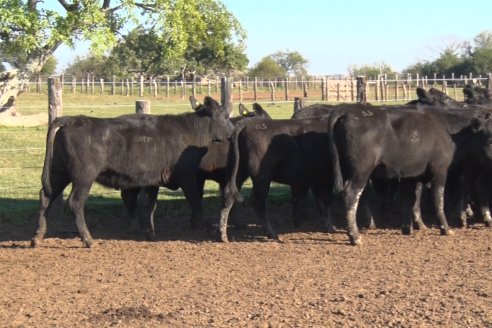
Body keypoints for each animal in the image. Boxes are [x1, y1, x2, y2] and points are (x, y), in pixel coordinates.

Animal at [30, 96, 234, 247]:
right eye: (225, 115)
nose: (232, 132)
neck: (190, 131)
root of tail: (70, 120)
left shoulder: (152, 180)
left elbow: (150, 206)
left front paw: (150, 233)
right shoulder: (188, 177)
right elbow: (196, 201)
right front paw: (203, 226)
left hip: (59, 172)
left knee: (46, 197)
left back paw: (37, 237)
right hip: (84, 176)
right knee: (75, 202)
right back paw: (88, 240)